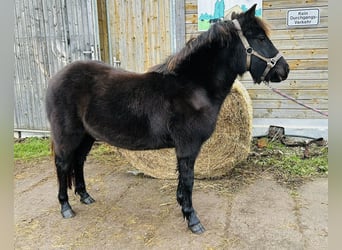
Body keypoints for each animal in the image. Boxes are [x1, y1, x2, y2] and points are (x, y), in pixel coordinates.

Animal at [45, 4, 288, 234]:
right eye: (260, 38)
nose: (284, 70)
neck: (192, 87)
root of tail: (56, 78)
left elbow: (183, 183)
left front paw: (183, 208)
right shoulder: (188, 147)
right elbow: (188, 180)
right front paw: (192, 219)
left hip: (87, 136)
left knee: (78, 162)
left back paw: (85, 196)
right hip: (68, 136)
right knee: (63, 165)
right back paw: (66, 207)